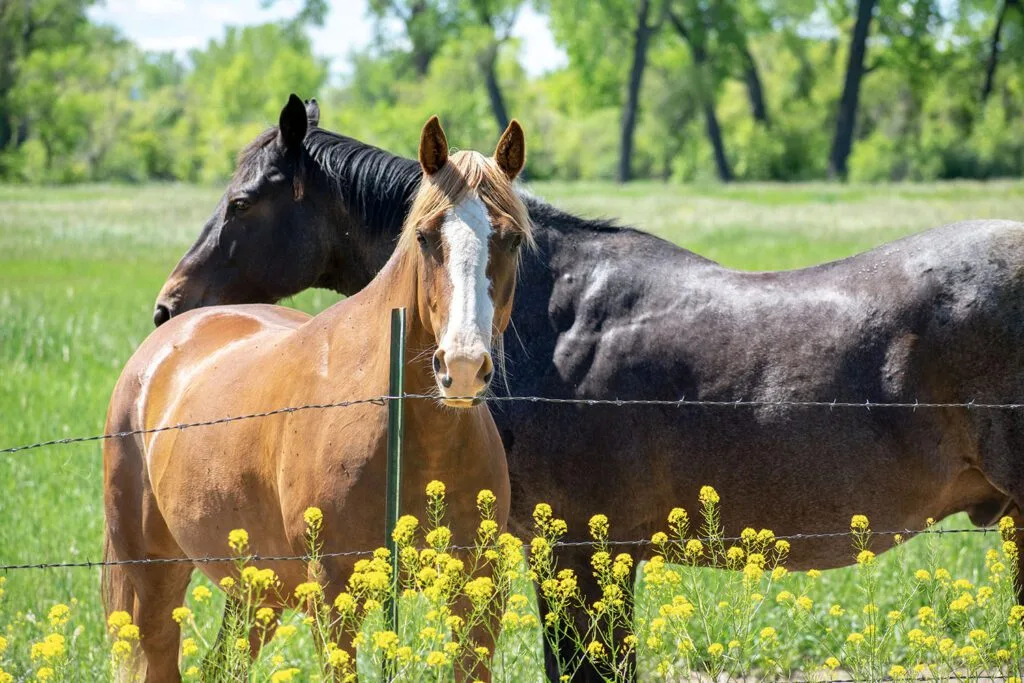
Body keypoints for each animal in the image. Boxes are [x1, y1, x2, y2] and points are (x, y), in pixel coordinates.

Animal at [103, 103, 531, 682]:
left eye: (512, 239)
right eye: (423, 237)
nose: (461, 367)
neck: (409, 431)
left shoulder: (478, 595)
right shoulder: (332, 598)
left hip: (254, 595)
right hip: (154, 581)